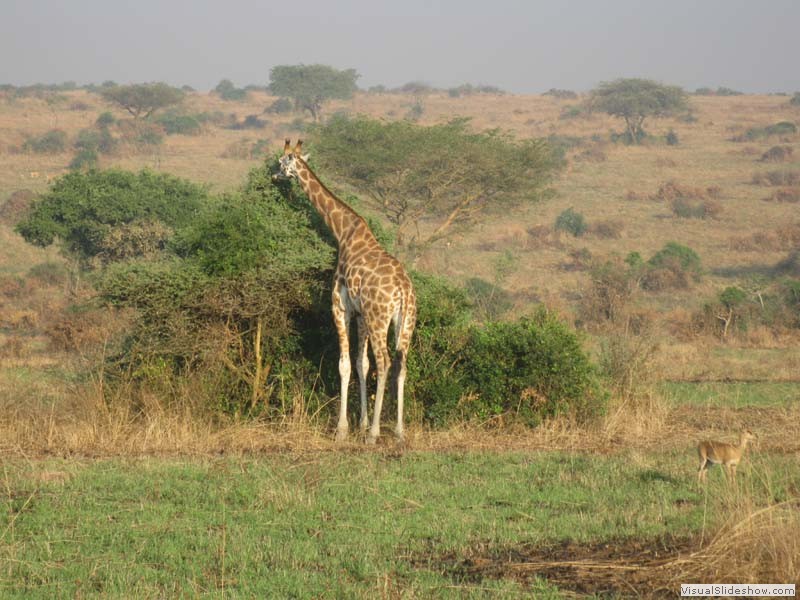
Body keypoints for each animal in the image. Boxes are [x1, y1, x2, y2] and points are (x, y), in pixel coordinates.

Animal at [273, 139, 416, 444]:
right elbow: (362, 364)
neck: (343, 232)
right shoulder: (360, 313)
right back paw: (399, 432)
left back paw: (375, 434)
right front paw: (360, 423)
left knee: (385, 362)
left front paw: (343, 429)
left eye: (281, 161)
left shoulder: (340, 306)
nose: (274, 176)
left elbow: (345, 364)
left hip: (379, 317)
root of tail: (402, 289)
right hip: (406, 320)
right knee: (401, 364)